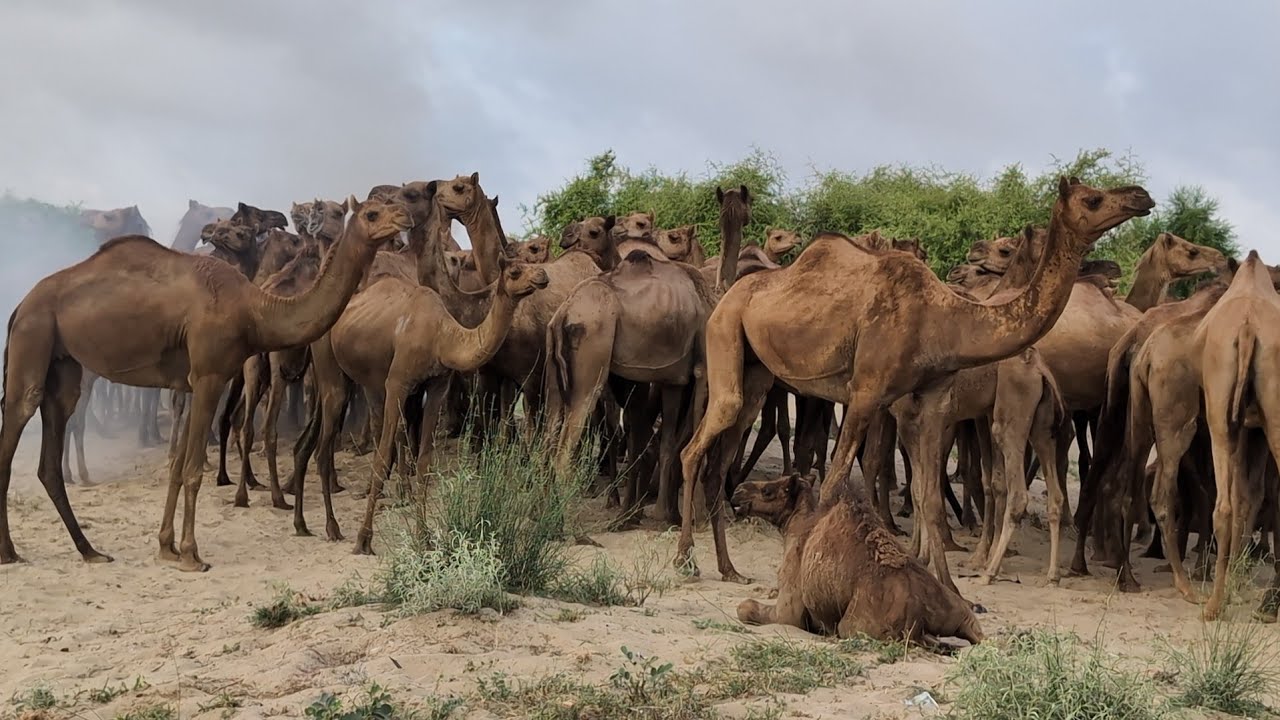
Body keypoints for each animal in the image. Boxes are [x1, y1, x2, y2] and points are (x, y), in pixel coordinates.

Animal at [0, 195, 411, 570]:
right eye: (371, 213)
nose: (403, 217)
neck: (253, 310)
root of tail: (20, 304)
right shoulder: (210, 377)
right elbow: (194, 469)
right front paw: (190, 554)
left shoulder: (191, 383)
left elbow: (177, 466)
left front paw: (166, 547)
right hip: (33, 335)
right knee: (18, 420)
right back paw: (10, 552)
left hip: (64, 364)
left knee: (52, 451)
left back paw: (90, 550)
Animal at [676, 177, 1154, 583]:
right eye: (1093, 199)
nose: (1142, 196)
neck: (945, 319)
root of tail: (727, 294)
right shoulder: (867, 393)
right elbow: (833, 486)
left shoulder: (934, 399)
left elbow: (929, 497)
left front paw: (951, 588)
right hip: (725, 335)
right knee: (694, 448)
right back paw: (686, 561)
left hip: (756, 375)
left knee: (722, 454)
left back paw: (729, 569)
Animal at [731, 472, 983, 645]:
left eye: (768, 491)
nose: (737, 491)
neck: (797, 526)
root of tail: (917, 614)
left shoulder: (789, 610)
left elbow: (746, 607)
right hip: (960, 614)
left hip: (855, 625)